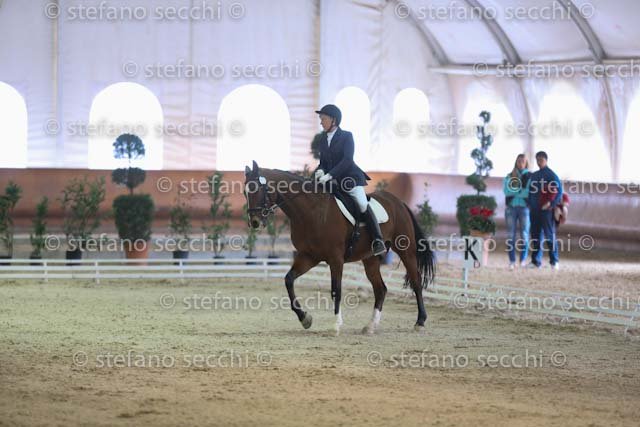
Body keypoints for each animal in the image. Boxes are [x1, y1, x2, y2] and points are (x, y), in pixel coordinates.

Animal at [244, 161, 435, 335]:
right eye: (245, 192)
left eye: (257, 190)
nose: (255, 222)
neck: (312, 212)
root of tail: (398, 202)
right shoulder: (308, 256)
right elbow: (289, 280)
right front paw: (305, 318)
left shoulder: (336, 259)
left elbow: (336, 290)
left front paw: (335, 325)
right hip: (370, 258)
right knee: (381, 289)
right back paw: (370, 326)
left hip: (405, 250)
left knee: (416, 281)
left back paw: (420, 322)